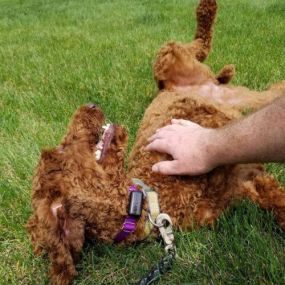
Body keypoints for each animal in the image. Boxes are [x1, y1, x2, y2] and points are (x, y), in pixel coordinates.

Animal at [26, 0, 284, 284]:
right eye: (62, 148)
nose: (89, 105)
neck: (147, 200)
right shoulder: (240, 180)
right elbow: (273, 197)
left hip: (168, 60)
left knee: (196, 43)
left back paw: (207, 9)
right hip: (240, 95)